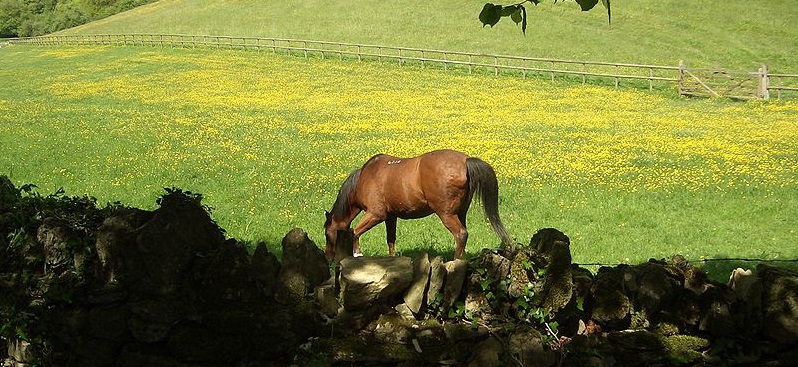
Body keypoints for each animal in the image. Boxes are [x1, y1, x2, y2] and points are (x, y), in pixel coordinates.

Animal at [324, 149, 512, 258]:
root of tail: (465, 161)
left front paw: (357, 254)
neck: (364, 178)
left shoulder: (376, 214)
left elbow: (354, 233)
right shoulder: (391, 217)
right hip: (460, 213)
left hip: (447, 214)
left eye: (327, 234)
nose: (328, 257)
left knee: (461, 234)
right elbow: (390, 240)